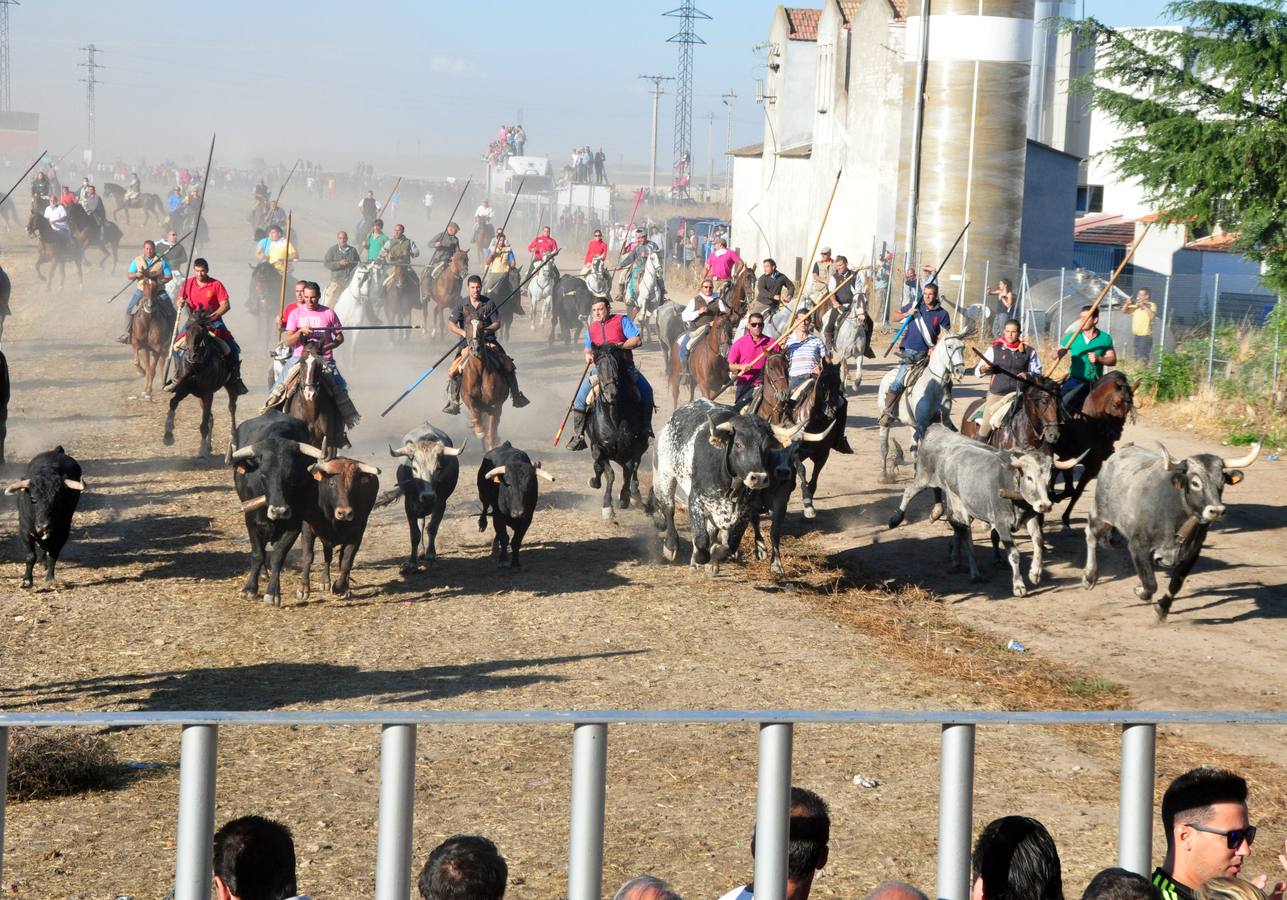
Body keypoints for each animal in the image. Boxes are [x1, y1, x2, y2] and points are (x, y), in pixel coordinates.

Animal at [164, 315, 240, 458]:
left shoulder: (208, 393)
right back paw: (209, 445)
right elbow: (173, 403)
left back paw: (233, 441)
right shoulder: (184, 389)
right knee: (211, 417)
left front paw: (201, 451)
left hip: (230, 387)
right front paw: (168, 435)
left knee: (231, 408)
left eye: (202, 335)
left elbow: (204, 424)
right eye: (187, 334)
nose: (192, 356)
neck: (197, 367)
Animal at [586, 347, 653, 525]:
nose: (611, 393)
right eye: (598, 367)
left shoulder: (630, 449)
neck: (614, 416)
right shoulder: (599, 448)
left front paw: (624, 498)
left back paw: (634, 494)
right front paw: (607, 507)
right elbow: (609, 474)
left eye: (617, 366)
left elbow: (627, 471)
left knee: (634, 468)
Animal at [875, 332, 967, 486]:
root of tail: (889, 374)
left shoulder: (942, 420)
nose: (960, 370)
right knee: (884, 446)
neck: (935, 385)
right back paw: (883, 475)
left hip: (913, 424)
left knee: (913, 448)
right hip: (886, 421)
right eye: (949, 346)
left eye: (963, 347)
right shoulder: (923, 423)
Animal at [1055, 370, 1137, 530]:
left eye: (1129, 408)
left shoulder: (1094, 465)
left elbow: (1075, 491)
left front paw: (1065, 517)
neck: (1091, 423)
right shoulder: (1067, 457)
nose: (1115, 434)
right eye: (1116, 404)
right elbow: (1069, 488)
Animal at [1081, 440, 1261, 623]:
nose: (1216, 511)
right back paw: (1089, 577)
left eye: (1222, 481)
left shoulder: (1191, 555)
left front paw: (1162, 608)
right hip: (1100, 516)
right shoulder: (1138, 547)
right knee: (1090, 535)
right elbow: (1150, 584)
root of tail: (1124, 449)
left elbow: (1176, 584)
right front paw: (1140, 590)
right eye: (1195, 483)